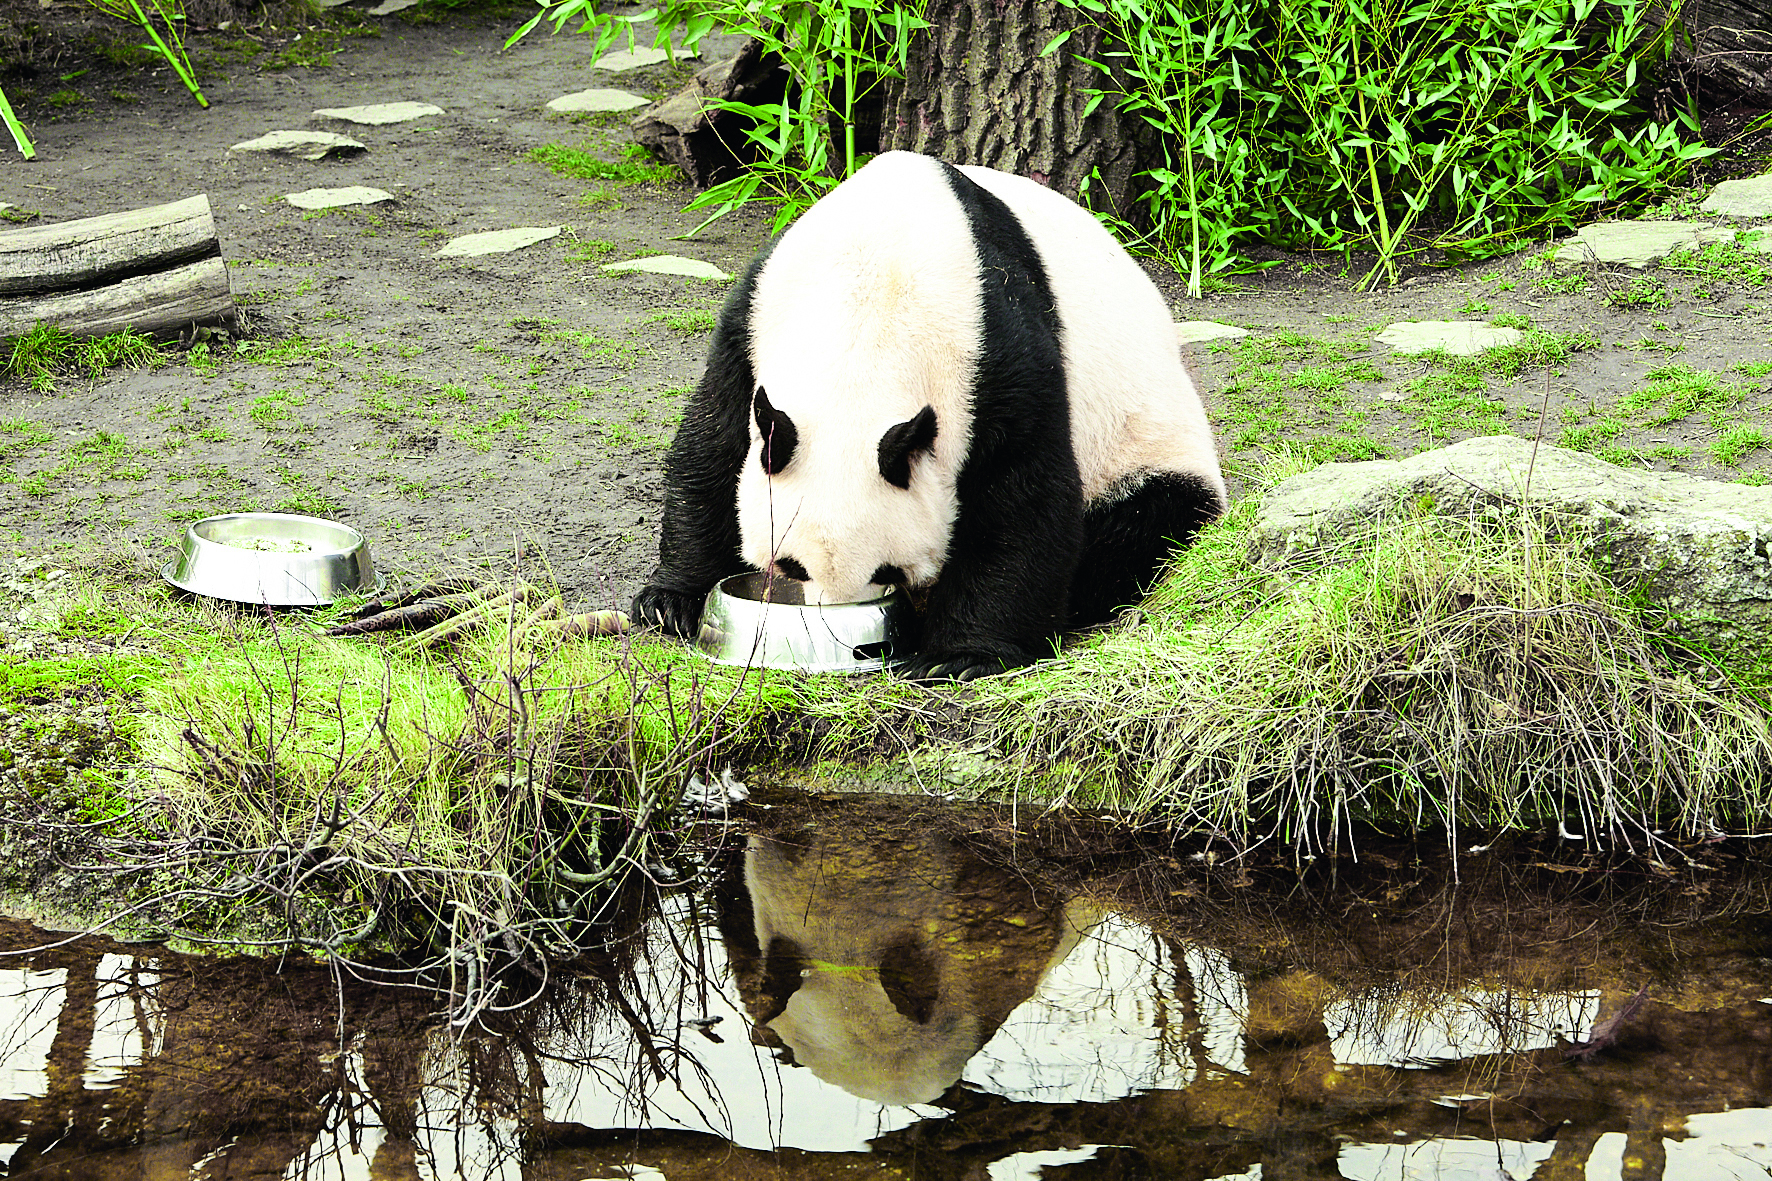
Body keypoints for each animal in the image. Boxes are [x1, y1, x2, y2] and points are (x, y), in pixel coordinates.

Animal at [632, 151, 1227, 681]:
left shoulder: (1001, 348)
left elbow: (1021, 496)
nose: (838, 629)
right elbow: (714, 445)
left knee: (1142, 522)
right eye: (791, 566)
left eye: (886, 571)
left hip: (1146, 441)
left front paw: (961, 654)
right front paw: (670, 601)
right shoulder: (754, 317)